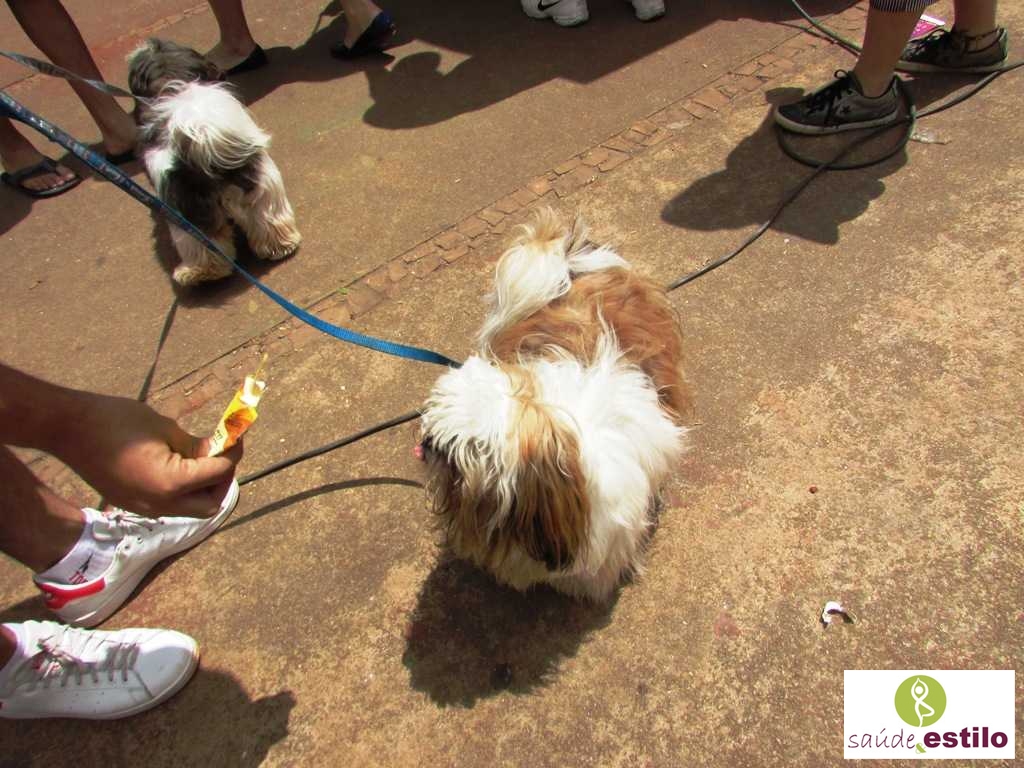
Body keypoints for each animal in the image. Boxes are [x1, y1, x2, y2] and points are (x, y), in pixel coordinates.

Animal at [127, 38, 300, 286]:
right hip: (263, 186)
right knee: (268, 218)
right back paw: (280, 245)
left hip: (189, 215)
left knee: (203, 247)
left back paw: (198, 273)